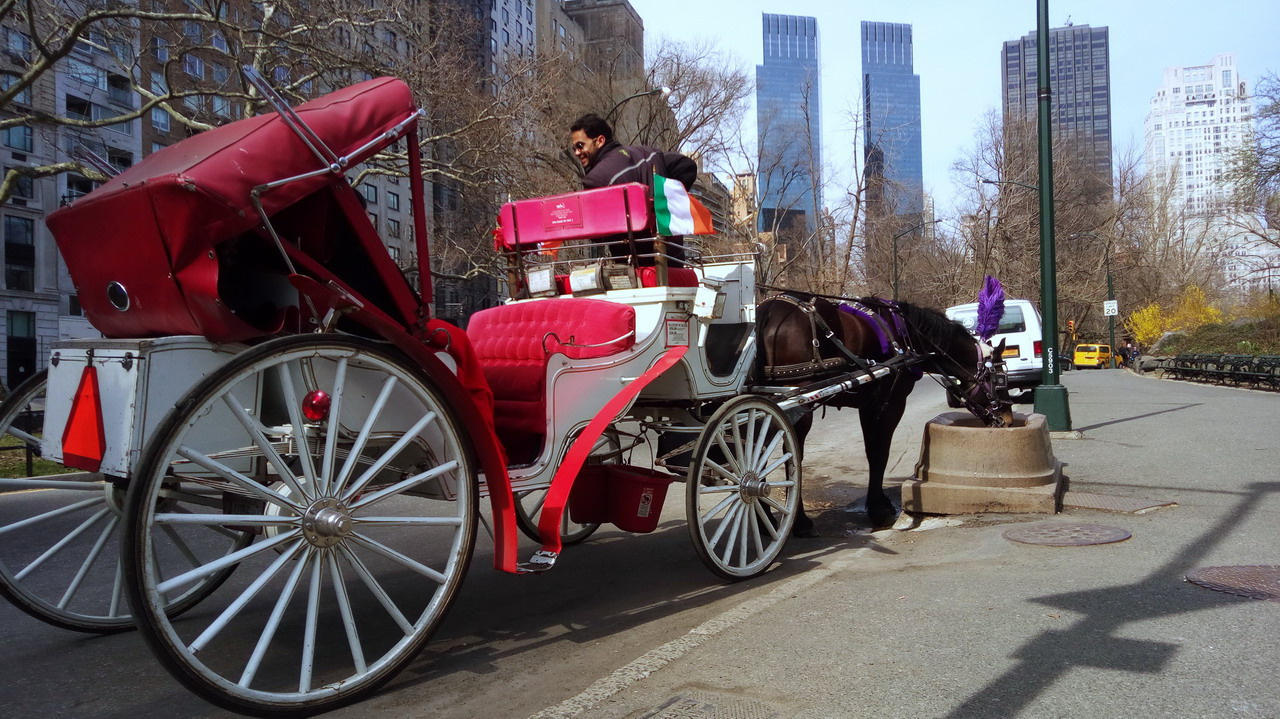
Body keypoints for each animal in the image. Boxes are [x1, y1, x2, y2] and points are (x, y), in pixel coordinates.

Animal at [752, 292, 1013, 532]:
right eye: (1000, 379)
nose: (1008, 420)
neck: (909, 337)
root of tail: (768, 311)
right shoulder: (891, 402)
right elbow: (879, 453)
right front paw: (880, 510)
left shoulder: (868, 404)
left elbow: (872, 450)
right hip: (798, 406)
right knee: (788, 455)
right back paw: (798, 522)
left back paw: (763, 518)